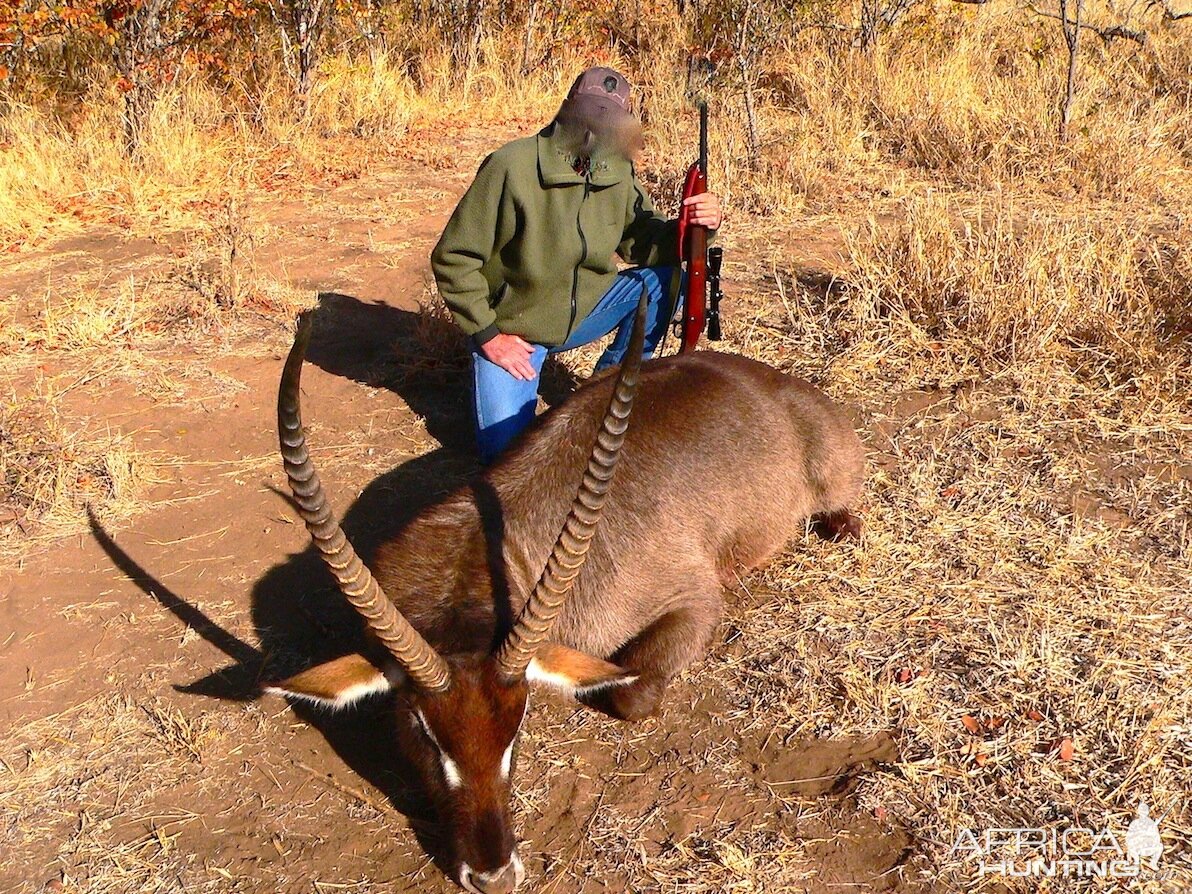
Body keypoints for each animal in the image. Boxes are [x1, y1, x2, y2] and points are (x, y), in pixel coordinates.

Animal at [269, 298, 863, 891]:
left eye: (519, 724)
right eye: (420, 728)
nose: (493, 876)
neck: (488, 546)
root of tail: (769, 380)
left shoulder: (695, 601)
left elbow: (631, 694)